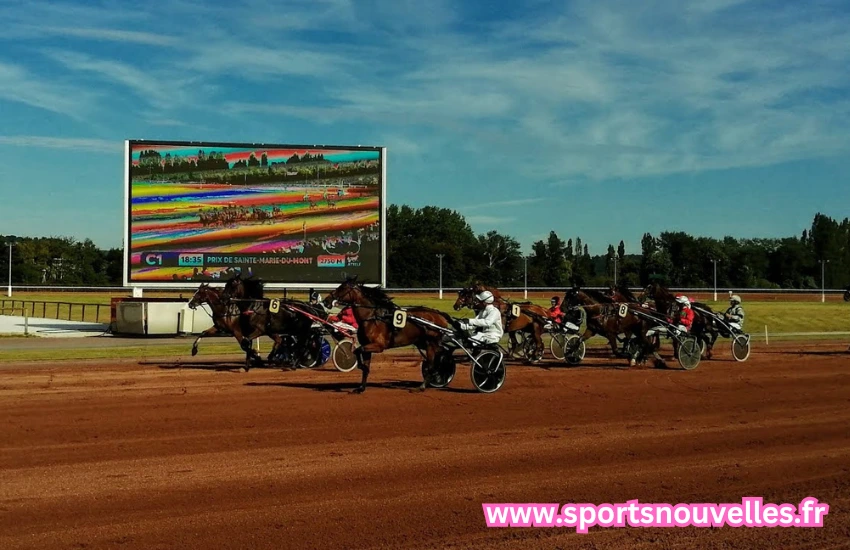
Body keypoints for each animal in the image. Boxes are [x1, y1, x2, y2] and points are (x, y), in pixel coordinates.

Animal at [322, 278, 458, 394]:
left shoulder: (378, 346)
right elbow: (365, 365)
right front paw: (361, 387)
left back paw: (421, 387)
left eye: (342, 288)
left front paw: (359, 365)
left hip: (431, 343)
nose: (326, 301)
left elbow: (357, 350)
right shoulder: (367, 346)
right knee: (440, 354)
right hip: (423, 342)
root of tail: (439, 314)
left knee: (431, 364)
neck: (372, 318)